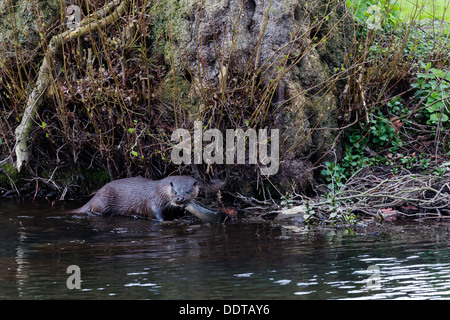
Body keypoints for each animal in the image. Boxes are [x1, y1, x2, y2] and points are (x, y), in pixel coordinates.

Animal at [68, 175, 199, 222]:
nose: (179, 198)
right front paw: (164, 221)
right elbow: (154, 212)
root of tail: (95, 196)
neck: (161, 191)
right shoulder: (154, 200)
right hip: (103, 202)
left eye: (187, 191)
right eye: (175, 191)